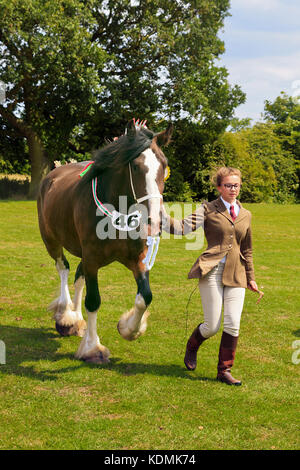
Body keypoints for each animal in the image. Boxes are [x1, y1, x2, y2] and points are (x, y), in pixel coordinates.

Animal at [36, 119, 172, 366]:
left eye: (164, 167)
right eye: (135, 167)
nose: (156, 220)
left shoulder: (136, 259)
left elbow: (145, 297)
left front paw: (129, 328)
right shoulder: (92, 259)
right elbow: (93, 301)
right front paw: (92, 348)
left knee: (78, 277)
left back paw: (75, 319)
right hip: (51, 241)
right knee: (63, 268)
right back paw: (66, 316)